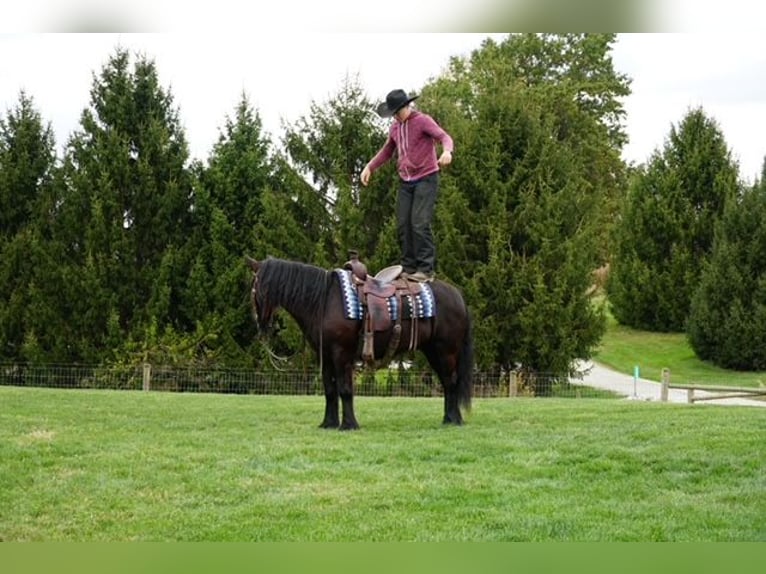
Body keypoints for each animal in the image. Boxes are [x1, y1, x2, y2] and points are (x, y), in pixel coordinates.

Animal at [245, 255, 473, 430]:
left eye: (256, 287)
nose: (261, 326)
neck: (324, 301)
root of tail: (457, 295)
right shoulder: (324, 355)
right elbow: (330, 390)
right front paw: (328, 423)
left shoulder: (341, 353)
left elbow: (345, 389)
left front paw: (349, 424)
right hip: (433, 351)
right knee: (446, 382)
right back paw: (448, 419)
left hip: (446, 350)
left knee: (451, 381)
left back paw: (454, 420)